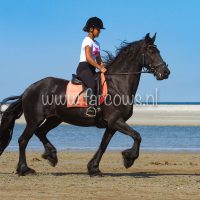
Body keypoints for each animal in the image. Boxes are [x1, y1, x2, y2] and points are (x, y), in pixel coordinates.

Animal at [0, 33, 170, 176]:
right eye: (151, 51)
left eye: (158, 50)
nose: (166, 72)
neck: (118, 84)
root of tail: (28, 89)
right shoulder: (115, 121)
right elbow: (137, 136)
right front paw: (128, 158)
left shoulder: (112, 125)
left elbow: (104, 145)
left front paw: (94, 168)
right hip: (35, 119)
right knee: (23, 140)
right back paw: (24, 169)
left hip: (55, 119)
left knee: (40, 132)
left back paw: (51, 155)